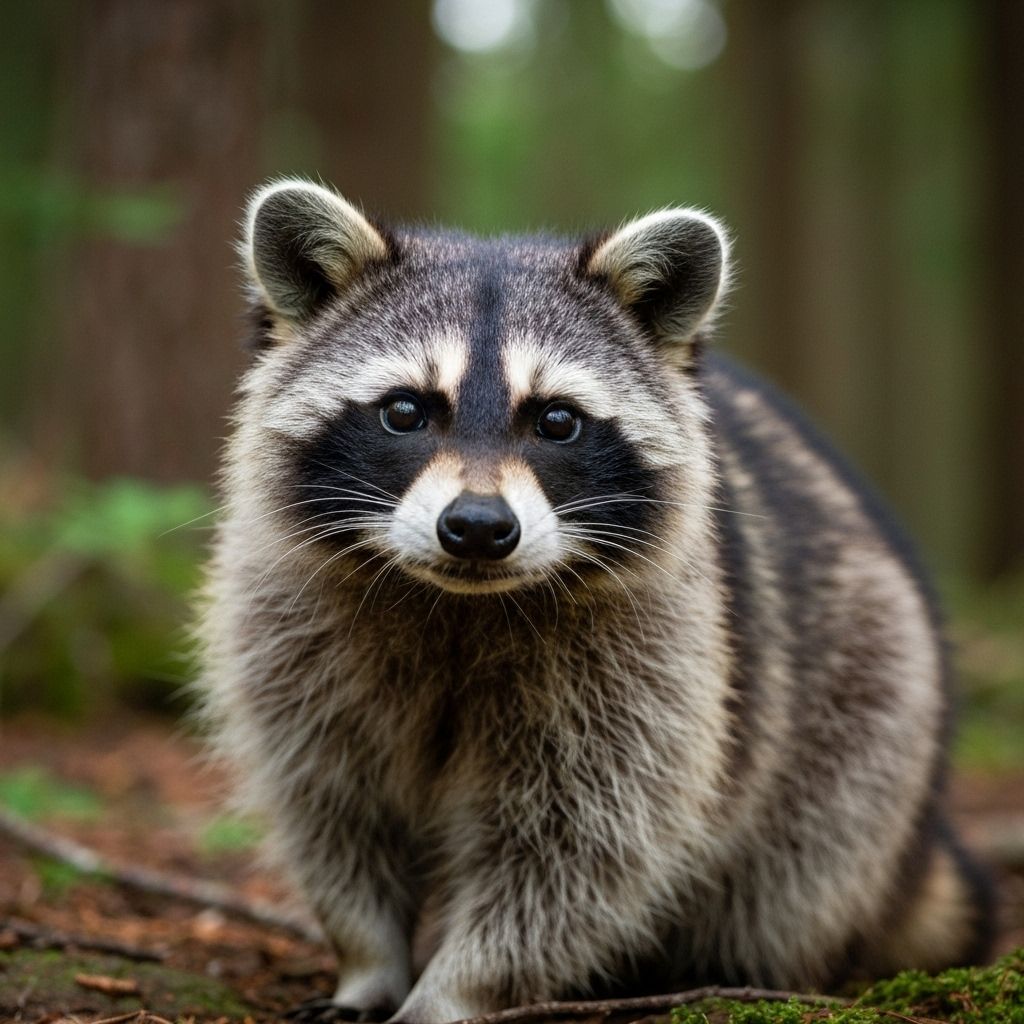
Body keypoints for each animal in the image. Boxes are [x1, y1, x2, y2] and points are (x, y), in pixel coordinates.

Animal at [198, 179, 993, 1023]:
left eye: (556, 420)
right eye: (406, 411)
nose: (477, 528)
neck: (457, 603)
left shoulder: (651, 666)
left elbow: (578, 847)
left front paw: (456, 989)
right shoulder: (293, 630)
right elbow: (333, 808)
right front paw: (367, 961)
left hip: (870, 710)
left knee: (798, 869)